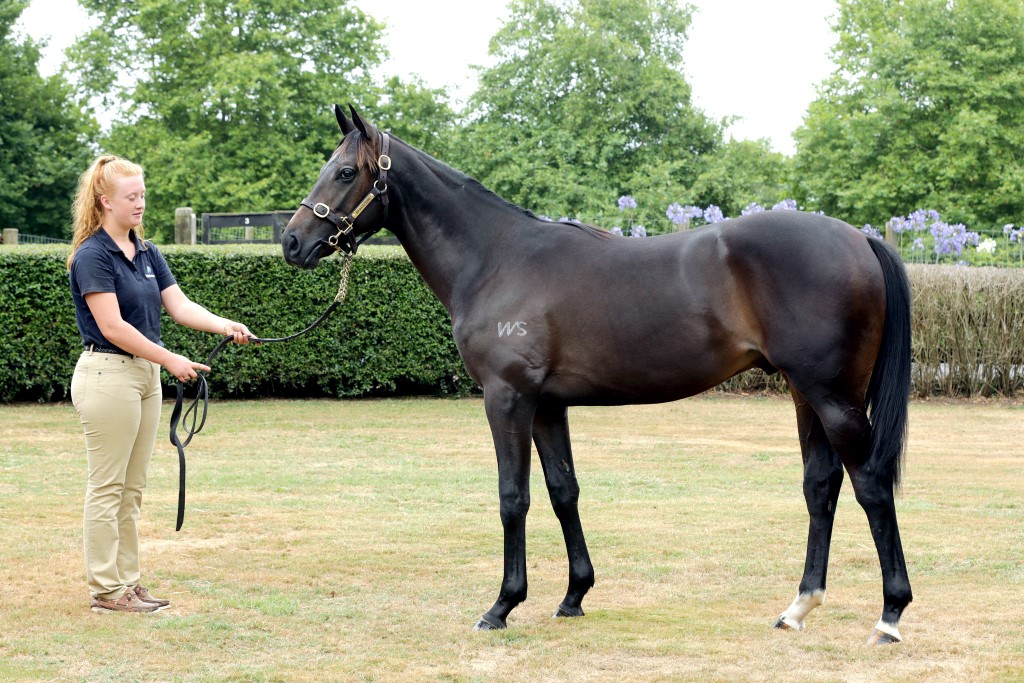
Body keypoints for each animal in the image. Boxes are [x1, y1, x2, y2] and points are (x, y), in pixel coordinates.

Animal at [282, 105, 913, 645]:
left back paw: (889, 616)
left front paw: (502, 605)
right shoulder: (547, 404)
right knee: (821, 487)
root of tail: (860, 238)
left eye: (344, 172)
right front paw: (574, 596)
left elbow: (513, 496)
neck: (496, 259)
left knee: (870, 486)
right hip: (806, 395)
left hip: (833, 398)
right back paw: (798, 608)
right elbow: (564, 491)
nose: (292, 242)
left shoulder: (507, 398)